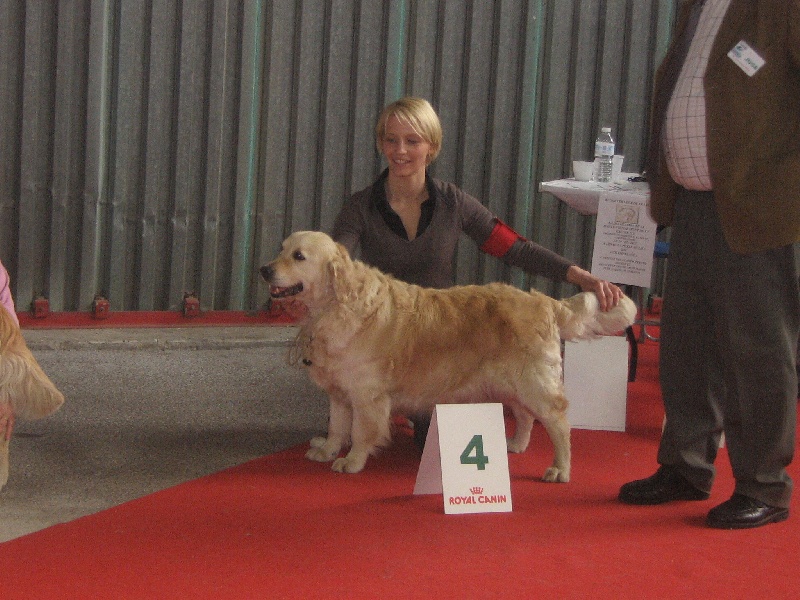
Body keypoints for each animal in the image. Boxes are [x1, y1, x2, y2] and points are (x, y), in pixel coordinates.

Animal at [262, 231, 636, 482]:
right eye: (281, 249)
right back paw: (514, 444)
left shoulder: (366, 394)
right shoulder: (340, 392)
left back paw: (560, 468)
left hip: (534, 382)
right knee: (526, 415)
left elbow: (361, 430)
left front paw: (351, 461)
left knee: (557, 420)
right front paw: (327, 450)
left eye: (299, 256)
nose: (265, 269)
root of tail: (543, 300)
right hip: (509, 382)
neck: (337, 305)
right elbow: (338, 426)